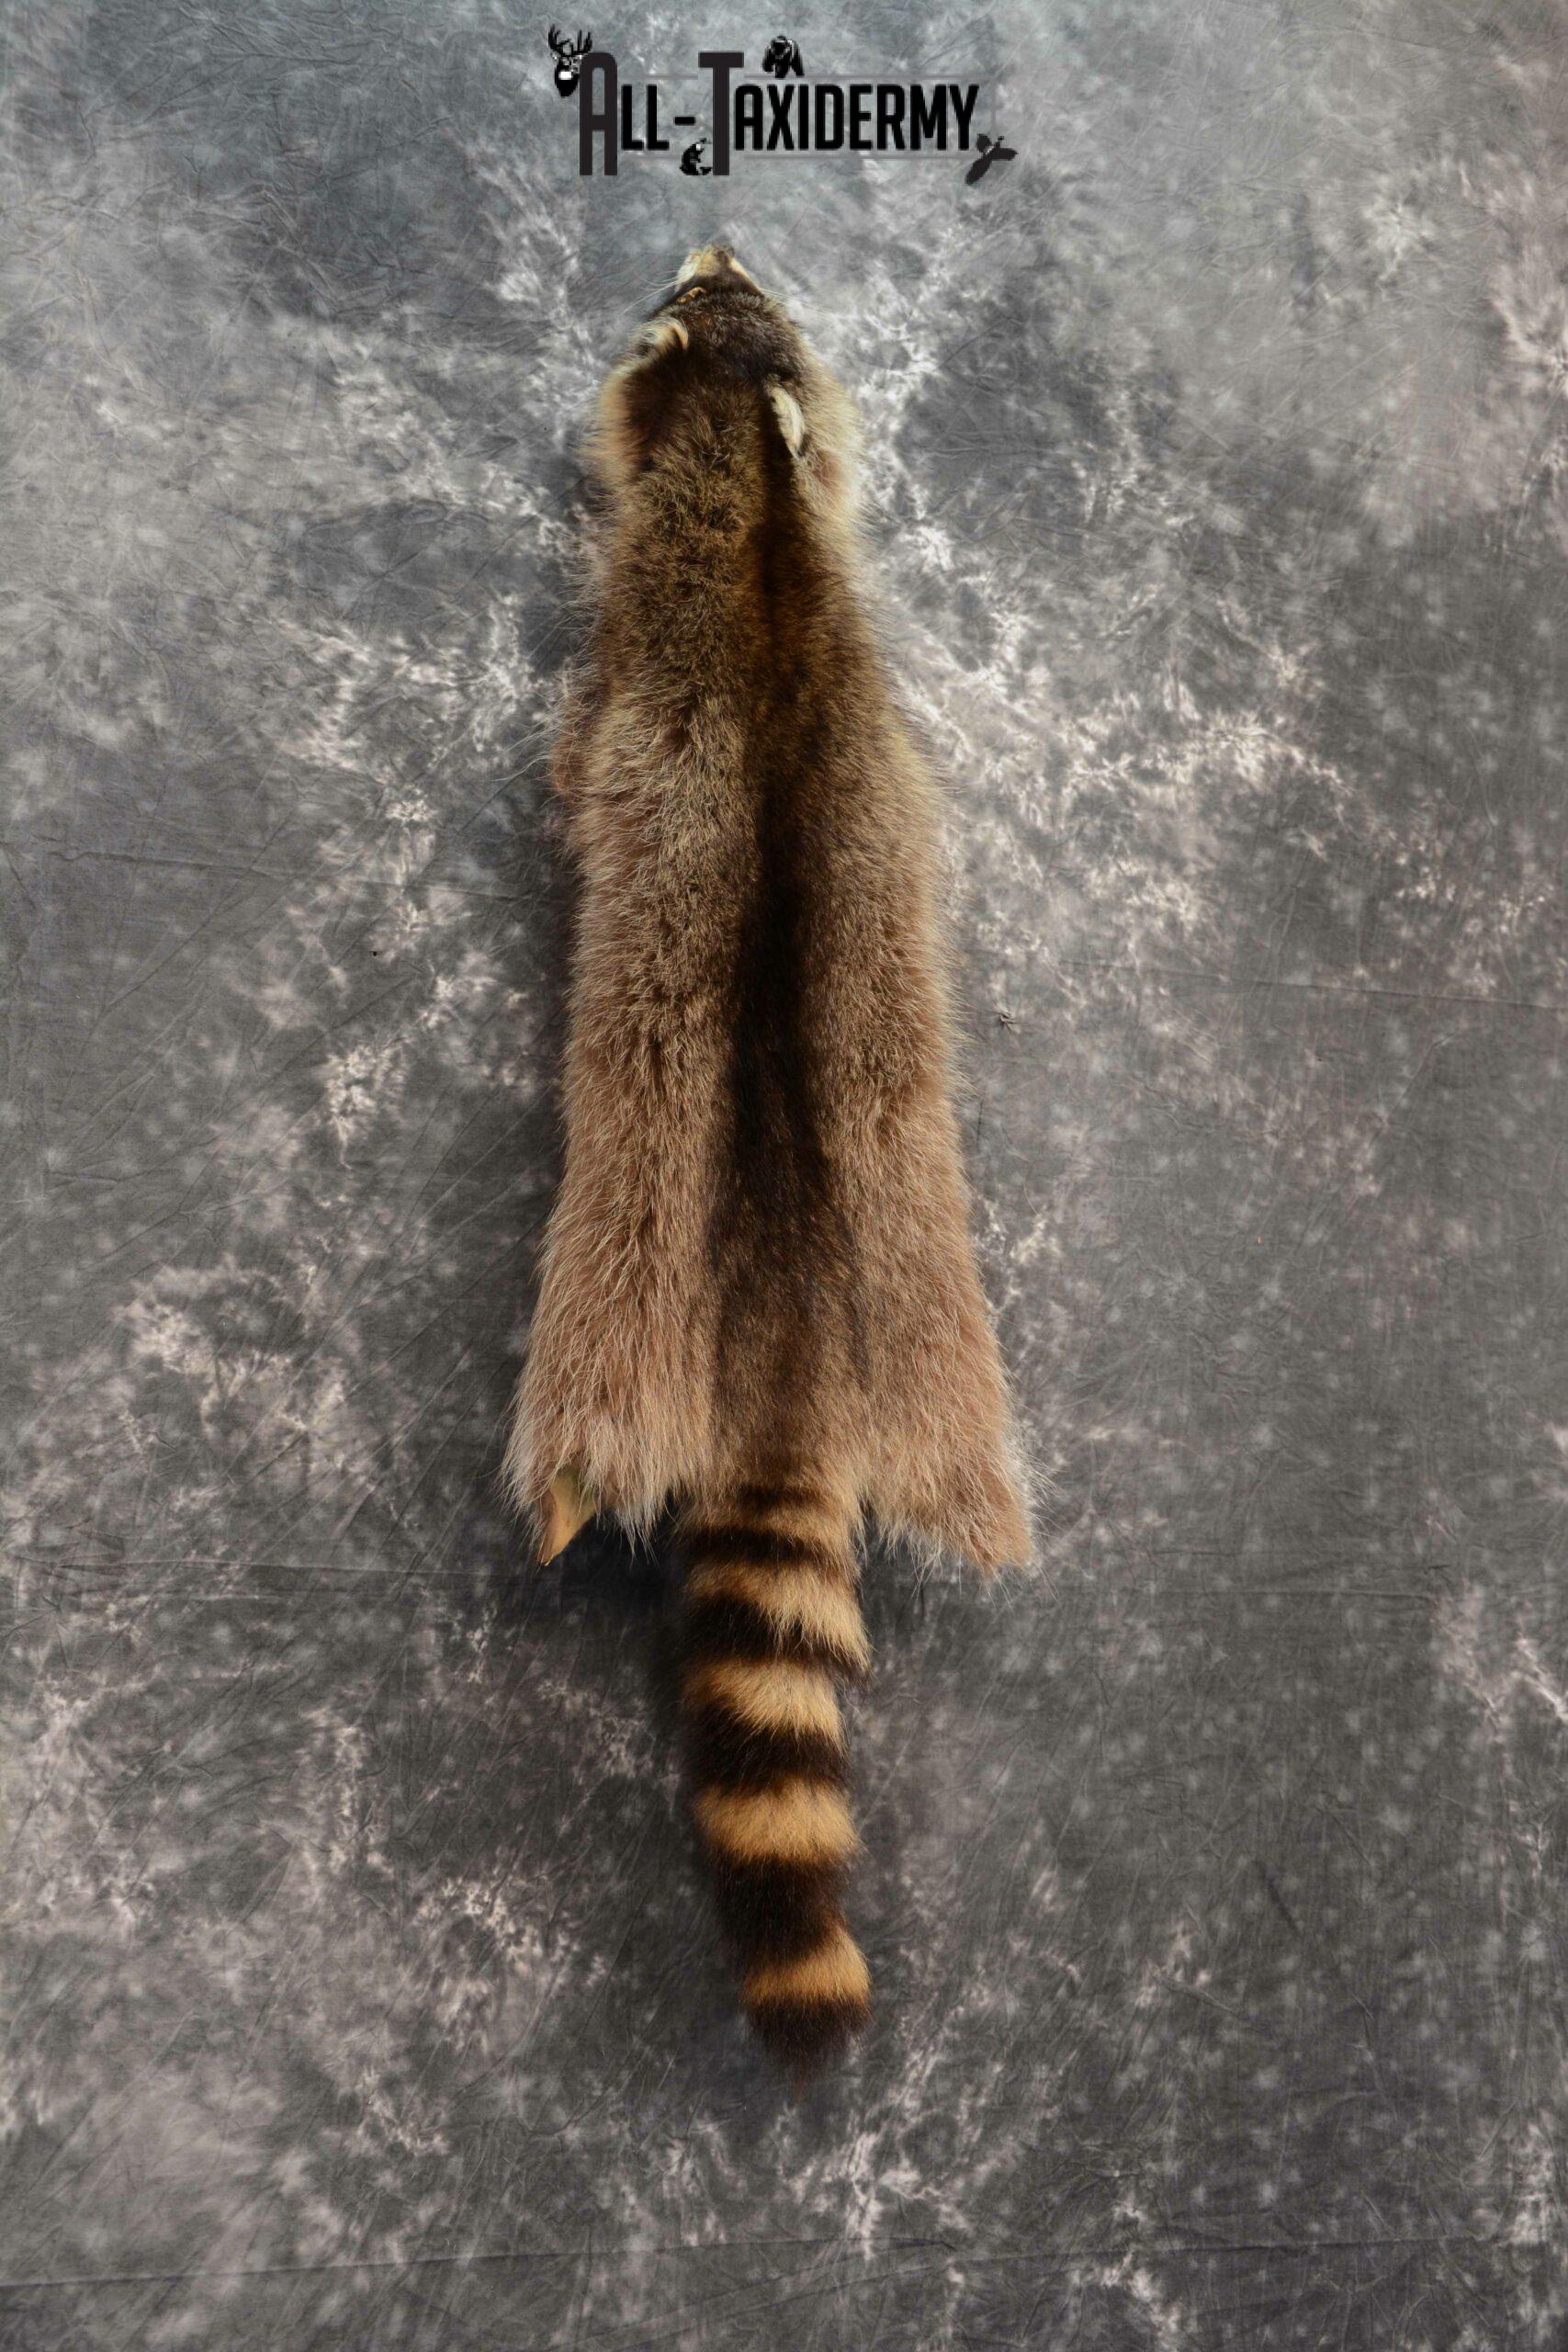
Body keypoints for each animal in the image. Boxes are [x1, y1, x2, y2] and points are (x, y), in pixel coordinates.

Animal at [508, 246, 1032, 2072]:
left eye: (688, 290)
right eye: (740, 287)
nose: (715, 240)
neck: (755, 493)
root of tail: (780, 1359)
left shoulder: (628, 633)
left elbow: (570, 759)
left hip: (619, 1261)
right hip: (925, 1295)